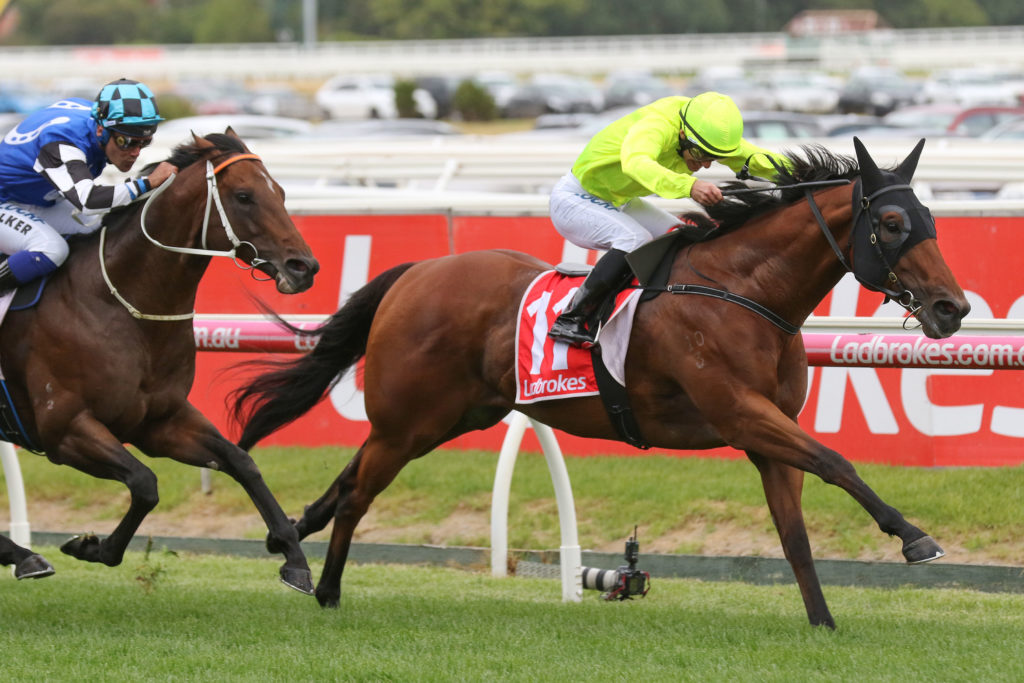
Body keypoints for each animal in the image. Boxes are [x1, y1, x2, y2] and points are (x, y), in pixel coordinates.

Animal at [0, 130, 319, 594]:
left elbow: (242, 462)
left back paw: (21, 555)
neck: (118, 304)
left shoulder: (159, 421)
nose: (304, 267)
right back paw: (22, 554)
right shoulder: (64, 429)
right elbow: (145, 483)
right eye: (244, 196)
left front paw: (293, 557)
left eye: (279, 191)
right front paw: (92, 547)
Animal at [230, 138, 969, 627]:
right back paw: (327, 589)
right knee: (358, 493)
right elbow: (837, 460)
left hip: (442, 418)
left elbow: (795, 533)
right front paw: (915, 537)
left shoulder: (767, 434)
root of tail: (417, 272)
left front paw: (823, 622)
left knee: (347, 480)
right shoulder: (740, 411)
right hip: (411, 419)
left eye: (932, 220)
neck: (744, 290)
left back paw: (291, 538)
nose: (953, 307)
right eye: (892, 223)